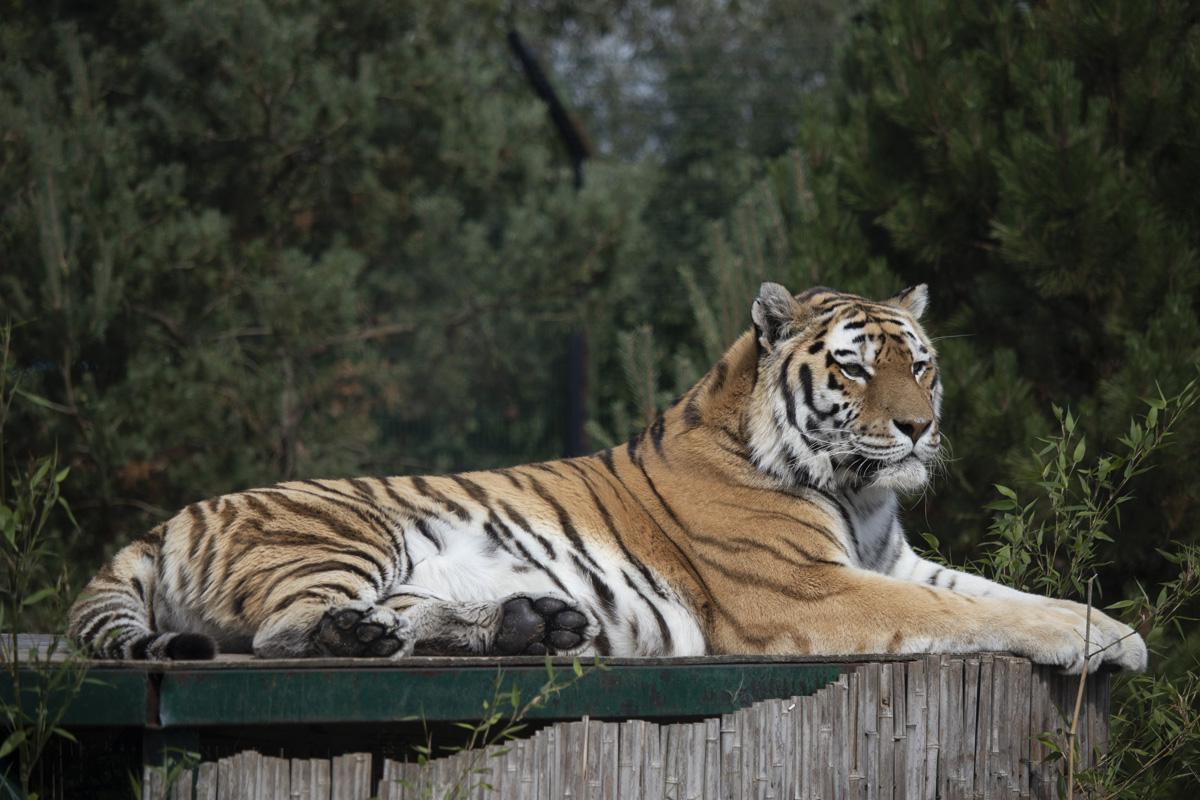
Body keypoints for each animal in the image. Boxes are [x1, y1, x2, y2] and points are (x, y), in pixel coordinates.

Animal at [68, 282, 1147, 673]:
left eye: (918, 363)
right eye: (851, 367)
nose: (920, 428)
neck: (860, 490)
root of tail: (164, 521)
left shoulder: (897, 563)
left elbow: (1005, 592)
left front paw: (1115, 626)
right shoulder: (812, 592)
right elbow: (967, 613)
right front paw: (1100, 642)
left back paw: (529, 622)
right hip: (347, 529)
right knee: (281, 630)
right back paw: (365, 635)